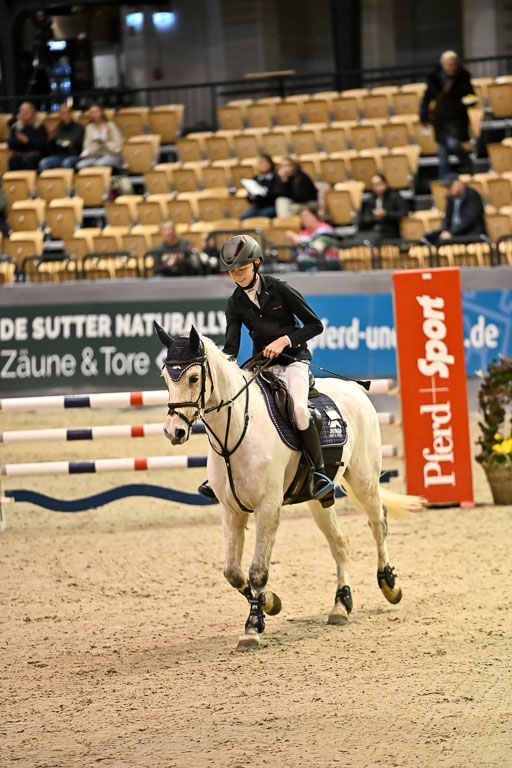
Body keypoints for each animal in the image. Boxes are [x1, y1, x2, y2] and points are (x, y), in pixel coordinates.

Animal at [154, 323, 423, 651]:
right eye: (166, 377)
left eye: (193, 378)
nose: (174, 432)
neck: (236, 432)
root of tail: (355, 390)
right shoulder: (232, 511)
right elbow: (233, 573)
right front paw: (270, 604)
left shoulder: (268, 508)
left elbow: (258, 571)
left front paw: (252, 628)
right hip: (319, 498)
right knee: (340, 542)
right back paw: (340, 605)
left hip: (364, 479)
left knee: (378, 523)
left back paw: (389, 584)